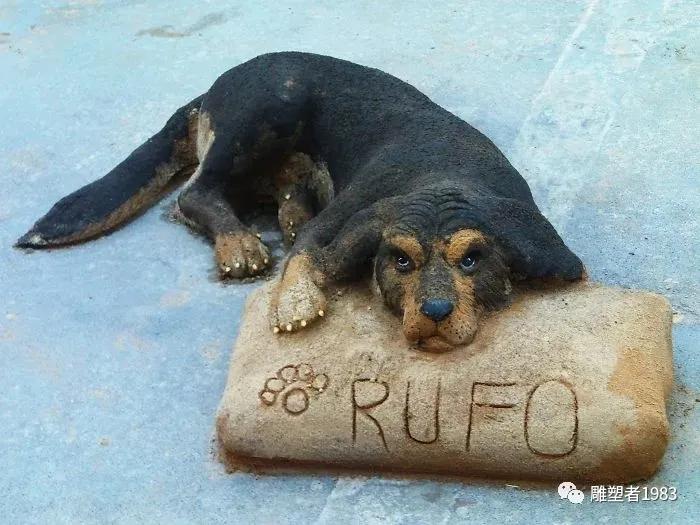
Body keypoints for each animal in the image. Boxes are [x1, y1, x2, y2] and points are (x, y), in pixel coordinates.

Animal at [16, 51, 584, 350]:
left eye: (473, 260)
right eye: (400, 260)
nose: (438, 311)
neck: (446, 176)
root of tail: (212, 88)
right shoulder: (345, 219)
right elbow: (308, 254)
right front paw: (296, 303)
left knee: (281, 184)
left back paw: (288, 211)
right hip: (269, 103)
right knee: (195, 192)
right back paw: (238, 242)